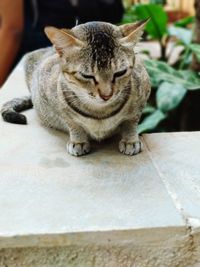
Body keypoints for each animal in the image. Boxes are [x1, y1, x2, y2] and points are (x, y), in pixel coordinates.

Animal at [0, 21, 151, 157]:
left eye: (120, 72)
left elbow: (131, 121)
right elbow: (73, 123)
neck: (100, 112)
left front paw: (130, 140)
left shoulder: (143, 91)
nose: (106, 95)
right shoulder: (57, 102)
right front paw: (78, 141)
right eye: (86, 75)